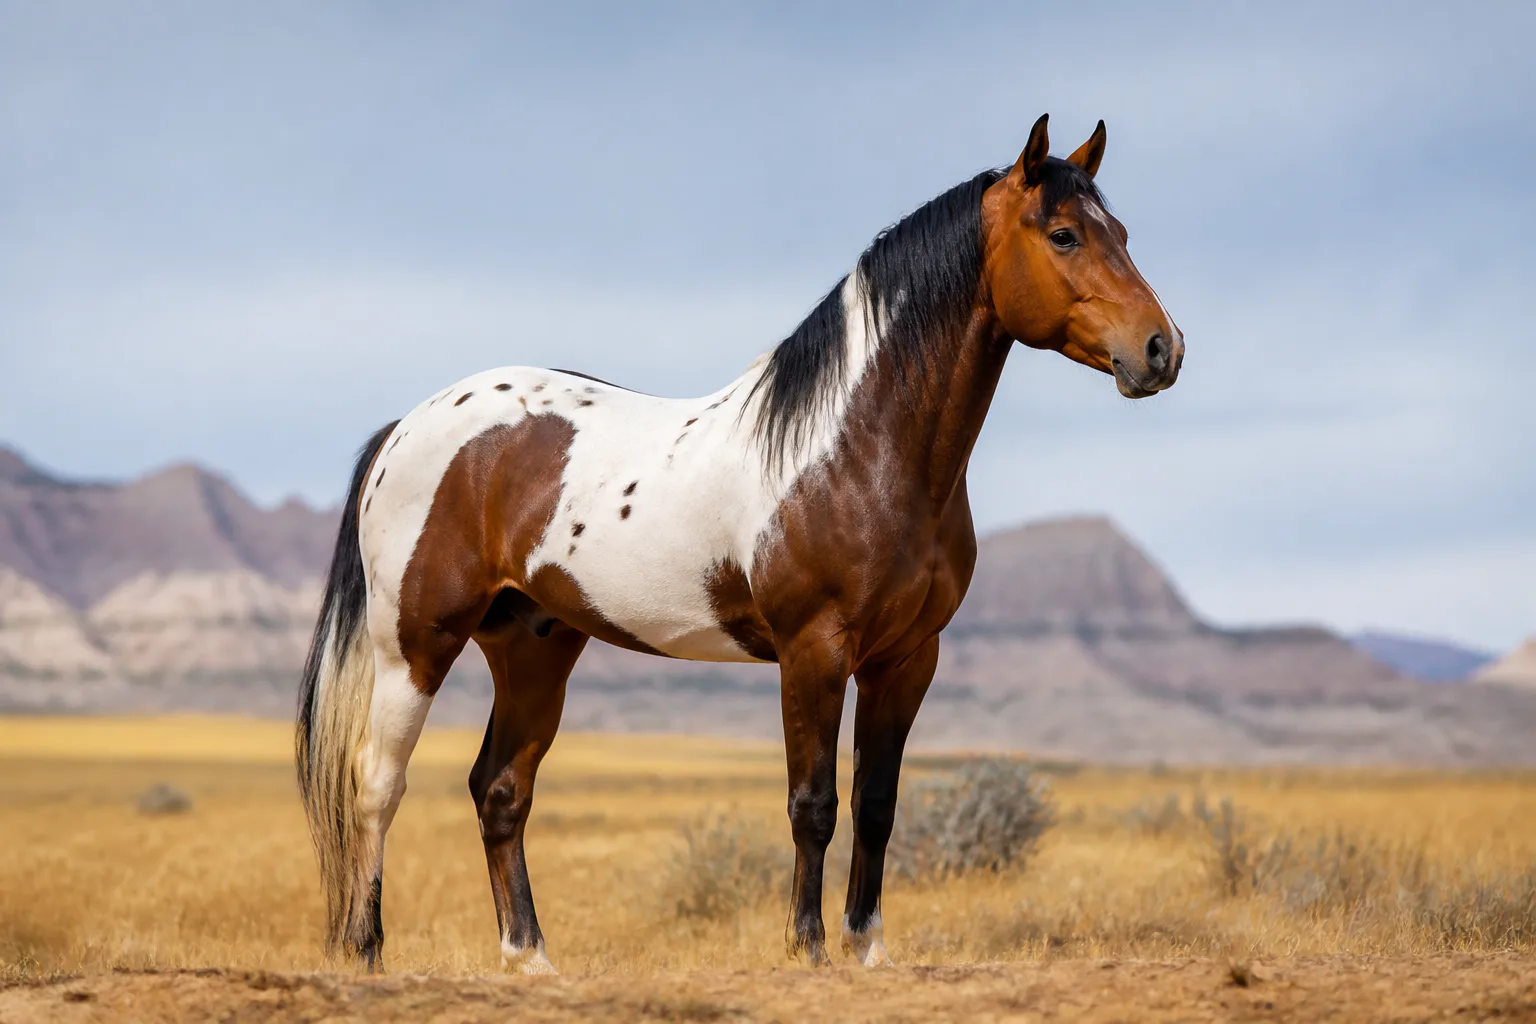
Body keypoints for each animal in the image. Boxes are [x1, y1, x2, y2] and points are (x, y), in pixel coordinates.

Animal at [296, 113, 1184, 973]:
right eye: (1063, 234)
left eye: (1122, 231)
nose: (1161, 350)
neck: (854, 448)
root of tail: (408, 425)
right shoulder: (813, 650)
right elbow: (814, 805)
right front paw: (808, 946)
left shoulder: (906, 659)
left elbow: (877, 805)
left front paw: (869, 948)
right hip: (415, 644)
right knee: (378, 782)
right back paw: (366, 949)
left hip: (534, 647)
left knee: (499, 790)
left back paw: (530, 956)